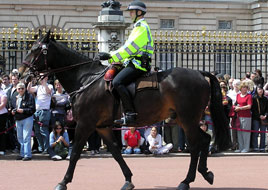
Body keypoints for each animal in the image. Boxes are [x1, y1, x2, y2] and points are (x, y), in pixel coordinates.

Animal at [21, 31, 230, 190]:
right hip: (184, 119)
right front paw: (128, 179)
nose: (23, 73)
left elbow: (75, 153)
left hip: (188, 119)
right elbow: (115, 152)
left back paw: (186, 181)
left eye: (35, 49)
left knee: (195, 145)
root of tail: (199, 73)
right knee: (204, 140)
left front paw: (63, 181)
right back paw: (205, 173)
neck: (85, 79)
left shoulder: (85, 124)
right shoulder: (101, 127)